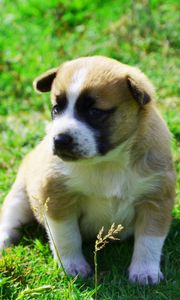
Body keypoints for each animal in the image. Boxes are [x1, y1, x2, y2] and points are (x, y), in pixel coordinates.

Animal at [0, 55, 174, 284]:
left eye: (94, 112)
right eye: (56, 109)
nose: (59, 140)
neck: (107, 162)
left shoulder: (156, 199)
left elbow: (149, 241)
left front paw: (145, 272)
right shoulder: (57, 199)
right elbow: (67, 237)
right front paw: (73, 267)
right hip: (19, 198)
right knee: (8, 221)